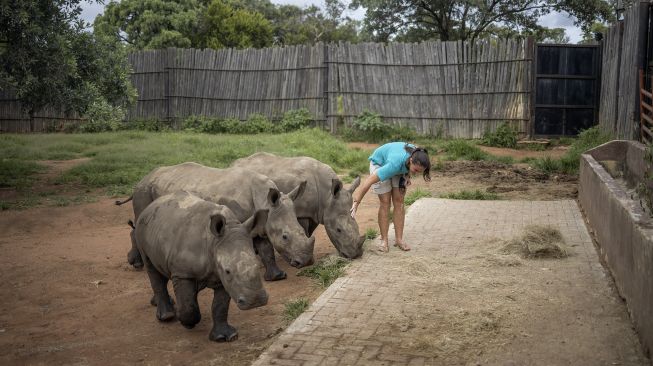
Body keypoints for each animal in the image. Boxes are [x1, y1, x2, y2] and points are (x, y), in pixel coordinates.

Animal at [118, 163, 314, 280]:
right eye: (285, 237)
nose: (306, 262)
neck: (264, 200)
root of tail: (144, 177)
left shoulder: (258, 222)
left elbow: (266, 248)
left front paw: (277, 277)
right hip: (144, 191)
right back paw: (138, 264)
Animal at [132, 190, 268, 342]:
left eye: (257, 265)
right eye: (228, 271)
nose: (256, 301)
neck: (213, 242)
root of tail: (151, 206)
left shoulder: (221, 277)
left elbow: (220, 306)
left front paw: (225, 336)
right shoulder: (183, 273)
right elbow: (189, 306)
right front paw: (187, 322)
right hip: (142, 227)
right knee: (152, 270)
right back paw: (167, 317)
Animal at [233, 153, 366, 258]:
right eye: (338, 230)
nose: (356, 255)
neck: (327, 197)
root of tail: (233, 164)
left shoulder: (315, 212)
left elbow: (309, 232)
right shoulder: (301, 213)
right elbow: (303, 230)